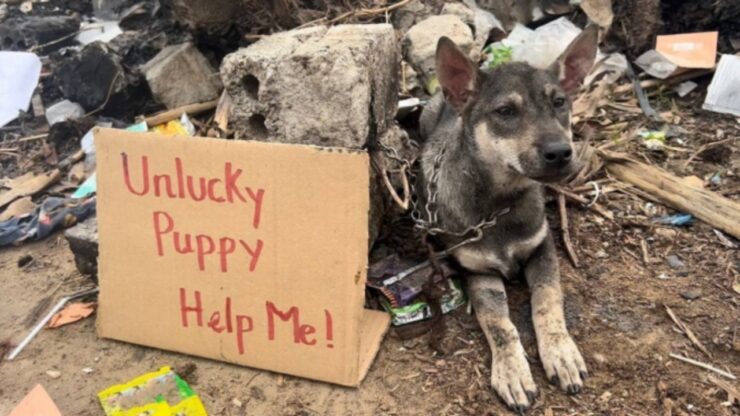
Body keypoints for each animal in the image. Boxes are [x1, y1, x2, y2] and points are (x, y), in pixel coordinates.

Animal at [420, 26, 600, 412]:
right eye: (505, 111)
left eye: (559, 102)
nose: (561, 153)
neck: (499, 205)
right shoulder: (477, 271)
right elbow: (498, 323)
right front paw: (512, 371)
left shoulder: (542, 248)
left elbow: (547, 300)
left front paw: (560, 352)